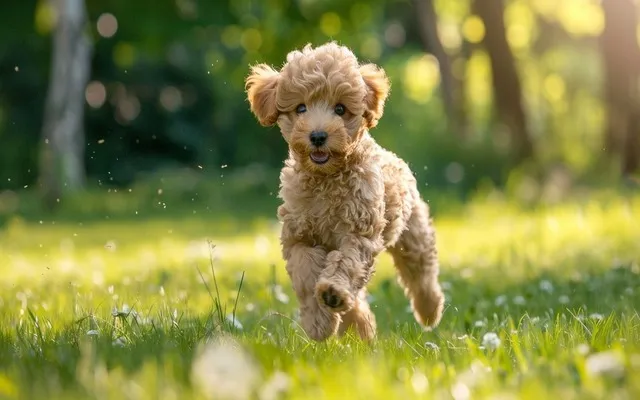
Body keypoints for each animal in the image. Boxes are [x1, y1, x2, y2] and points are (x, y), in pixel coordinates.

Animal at [245, 42, 444, 342]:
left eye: (340, 109)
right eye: (301, 108)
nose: (318, 136)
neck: (326, 179)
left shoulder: (359, 231)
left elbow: (346, 262)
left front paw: (333, 292)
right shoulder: (298, 236)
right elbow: (306, 273)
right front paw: (319, 322)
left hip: (413, 234)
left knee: (421, 273)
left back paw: (429, 310)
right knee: (360, 297)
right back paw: (359, 326)